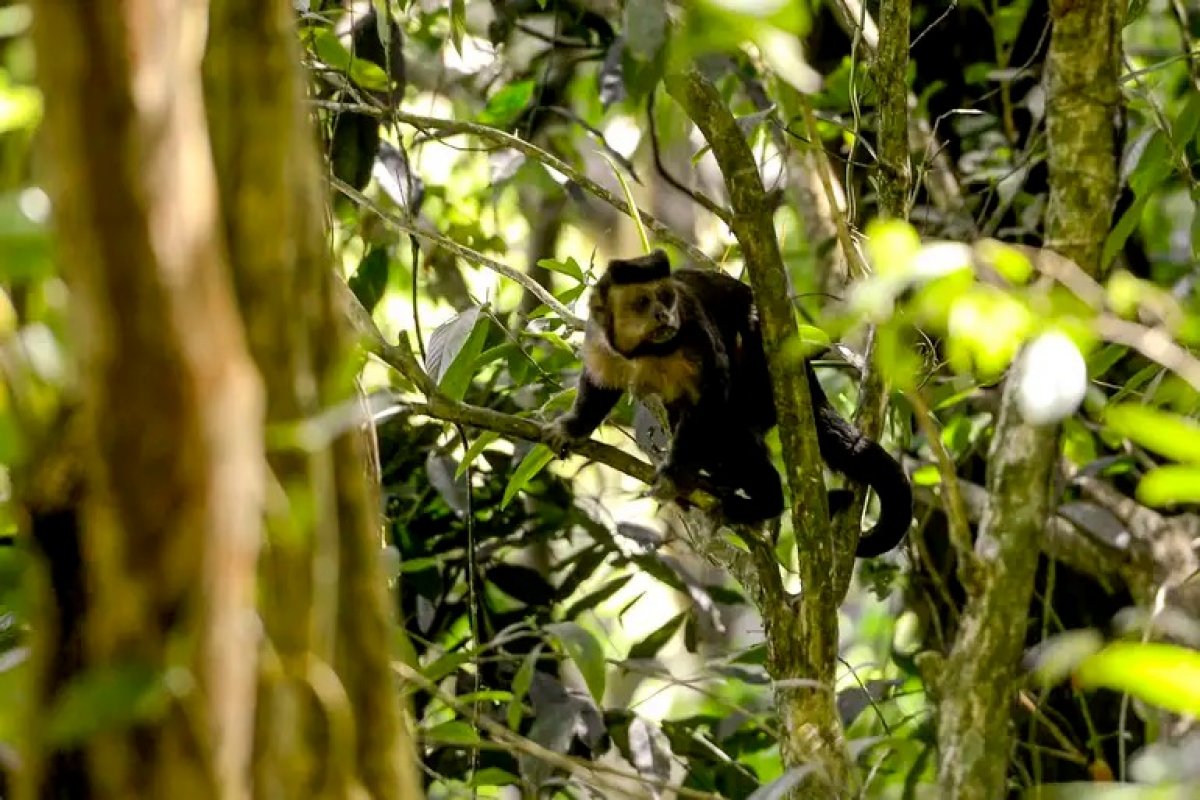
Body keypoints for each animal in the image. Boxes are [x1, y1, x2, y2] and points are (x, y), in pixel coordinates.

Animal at [543, 250, 913, 558]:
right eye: (642, 301)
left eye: (666, 297)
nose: (663, 314)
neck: (644, 350)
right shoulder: (600, 338)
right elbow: (600, 385)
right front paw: (573, 428)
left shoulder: (692, 328)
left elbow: (710, 397)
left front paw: (675, 475)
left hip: (762, 377)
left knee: (730, 429)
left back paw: (764, 501)